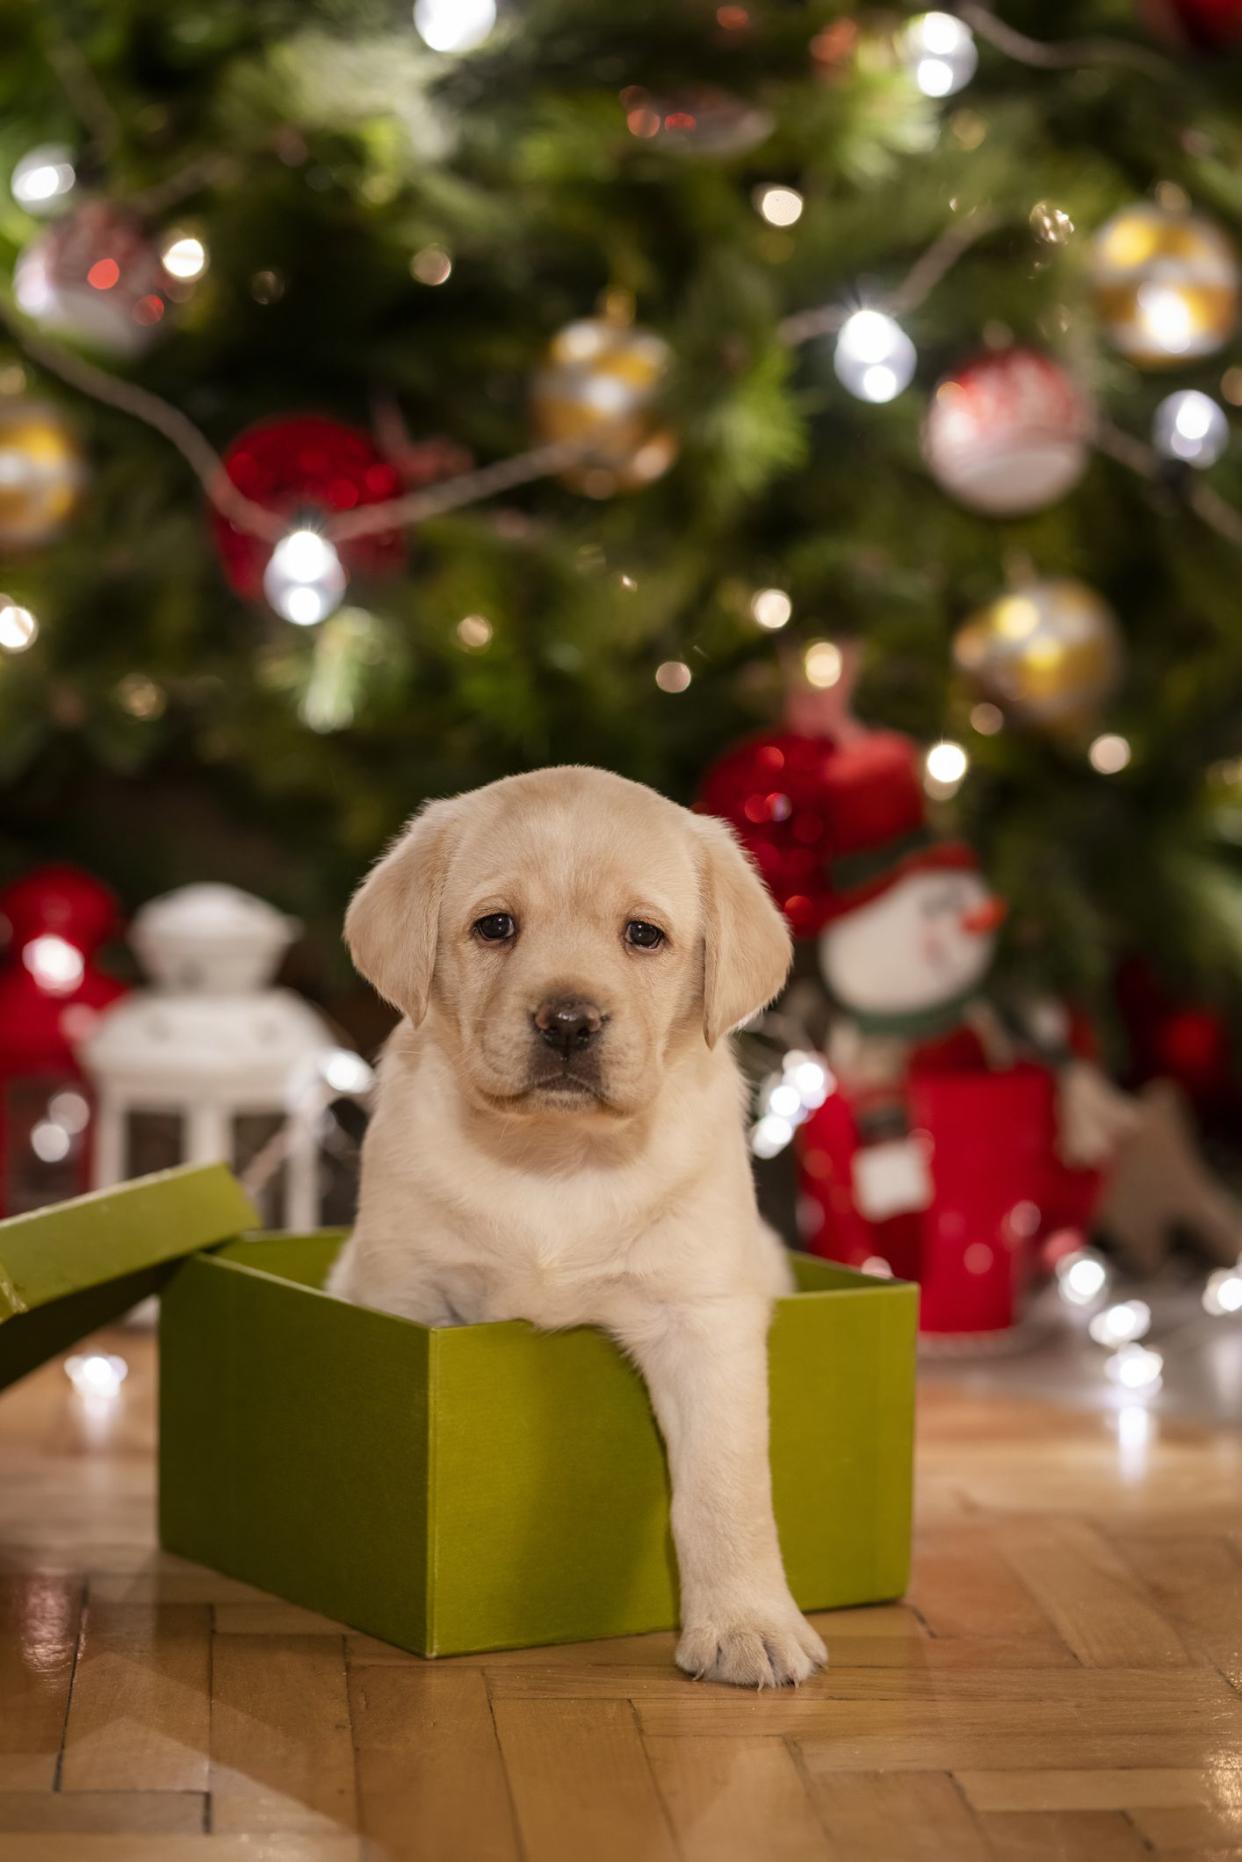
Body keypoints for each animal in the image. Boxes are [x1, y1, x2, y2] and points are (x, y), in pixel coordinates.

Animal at [333, 759, 826, 1690]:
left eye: (643, 935)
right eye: (495, 926)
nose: (567, 1022)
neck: (557, 1160)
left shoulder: (705, 1320)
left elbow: (725, 1487)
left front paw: (748, 1625)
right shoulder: (402, 1294)